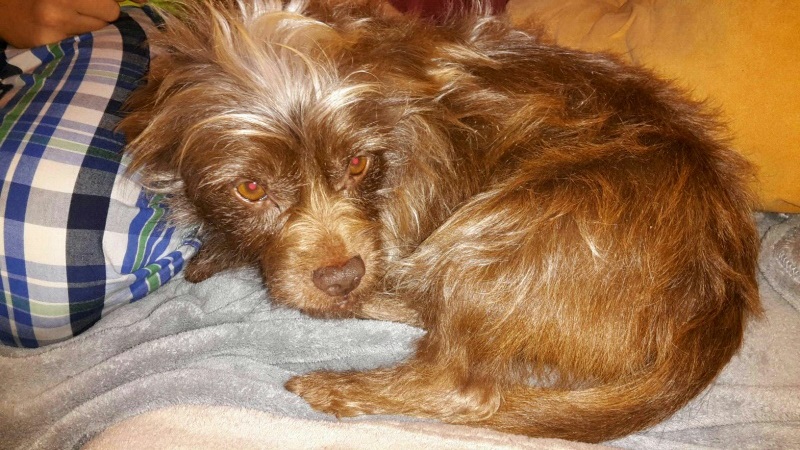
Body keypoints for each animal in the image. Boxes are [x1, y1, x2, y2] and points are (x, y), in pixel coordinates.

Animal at [120, 0, 761, 442]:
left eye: (357, 163)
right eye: (250, 188)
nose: (342, 277)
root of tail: (718, 303)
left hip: (498, 237)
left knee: (461, 386)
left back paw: (337, 379)